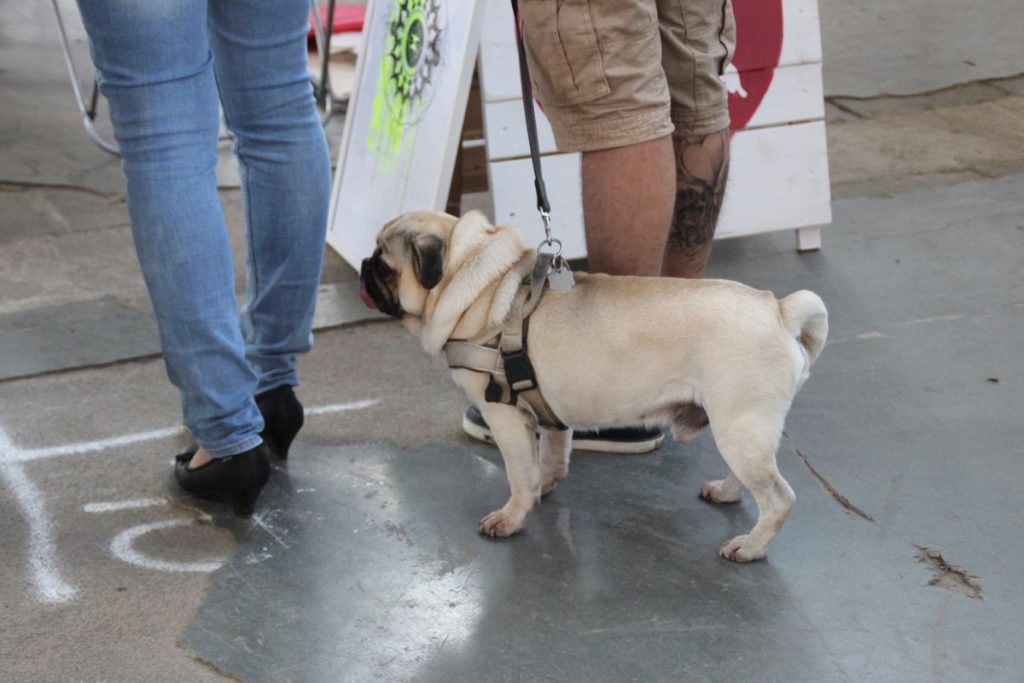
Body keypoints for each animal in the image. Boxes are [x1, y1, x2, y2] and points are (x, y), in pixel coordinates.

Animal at [356, 210, 827, 565]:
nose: (362, 264)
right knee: (749, 478)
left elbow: (518, 476)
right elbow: (549, 458)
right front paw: (545, 485)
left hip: (738, 426)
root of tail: (779, 310)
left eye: (383, 264)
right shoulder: (548, 416)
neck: (480, 284)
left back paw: (750, 547)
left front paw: (511, 517)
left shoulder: (504, 417)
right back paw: (726, 493)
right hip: (738, 427)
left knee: (778, 498)